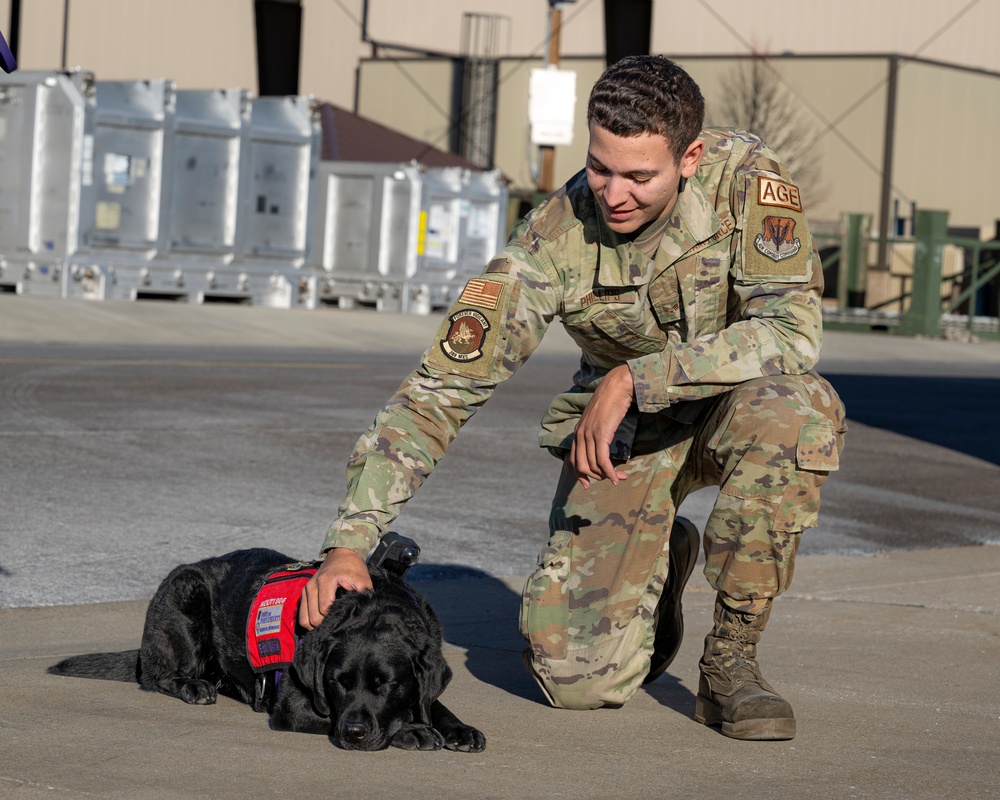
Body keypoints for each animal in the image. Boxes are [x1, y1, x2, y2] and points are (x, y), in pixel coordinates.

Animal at [47, 548, 484, 752]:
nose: (353, 733)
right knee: (158, 676)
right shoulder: (296, 708)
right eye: (337, 683)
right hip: (186, 594)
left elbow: (432, 700)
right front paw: (412, 731)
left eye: (386, 684)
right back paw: (192, 686)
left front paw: (457, 727)